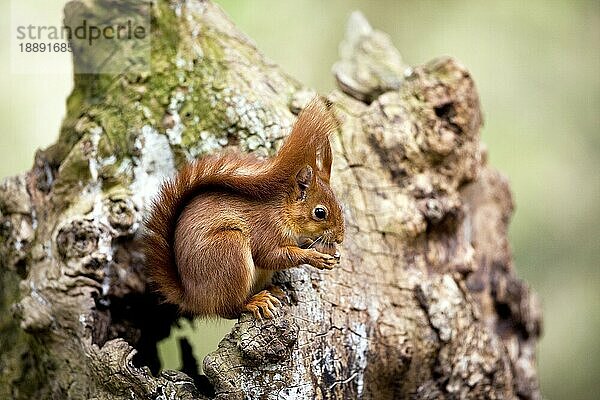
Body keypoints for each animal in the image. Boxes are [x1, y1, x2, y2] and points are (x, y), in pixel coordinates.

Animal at [142, 98, 344, 320]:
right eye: (320, 213)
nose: (340, 238)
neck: (282, 212)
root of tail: (193, 299)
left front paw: (313, 245)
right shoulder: (265, 231)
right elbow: (271, 256)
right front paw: (315, 257)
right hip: (229, 250)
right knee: (229, 309)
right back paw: (254, 302)